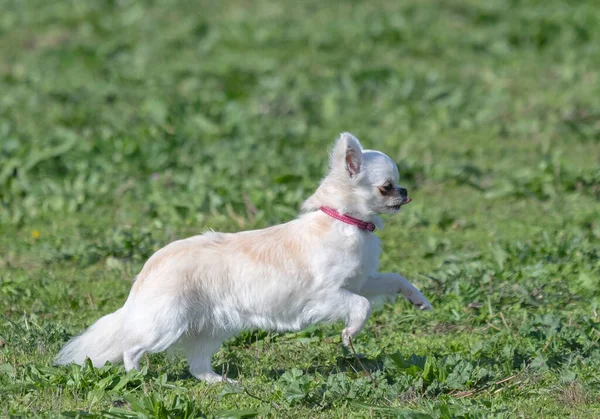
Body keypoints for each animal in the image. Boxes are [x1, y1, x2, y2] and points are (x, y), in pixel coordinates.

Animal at [56, 133, 432, 382]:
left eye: (397, 184)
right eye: (387, 186)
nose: (405, 191)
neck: (344, 222)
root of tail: (150, 267)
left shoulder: (362, 281)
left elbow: (394, 279)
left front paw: (419, 300)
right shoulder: (328, 295)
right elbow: (361, 307)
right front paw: (350, 334)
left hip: (209, 328)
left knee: (197, 365)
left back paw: (219, 382)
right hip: (165, 323)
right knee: (131, 347)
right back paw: (136, 375)